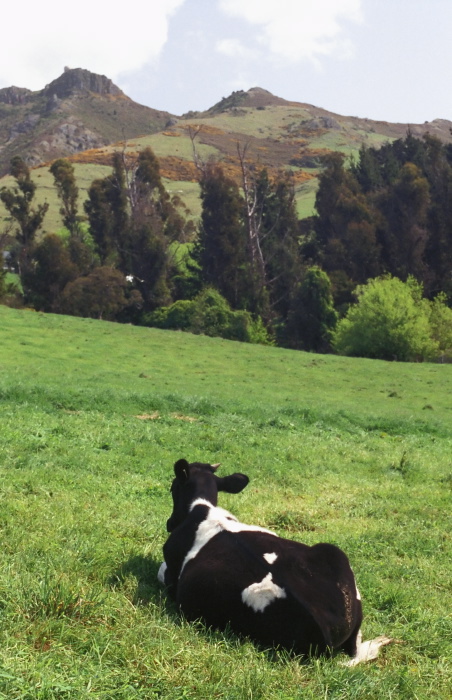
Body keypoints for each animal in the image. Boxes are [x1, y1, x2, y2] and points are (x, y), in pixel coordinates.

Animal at [157, 460, 390, 660]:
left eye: (172, 488)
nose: (169, 523)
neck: (202, 508)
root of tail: (330, 627)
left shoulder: (171, 574)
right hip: (334, 552)